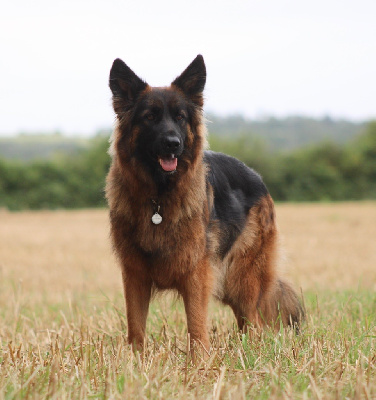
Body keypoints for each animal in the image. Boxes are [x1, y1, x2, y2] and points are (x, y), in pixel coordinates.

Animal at [105, 54, 302, 354]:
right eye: (149, 117)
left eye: (180, 117)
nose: (173, 144)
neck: (158, 199)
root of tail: (257, 177)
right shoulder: (135, 274)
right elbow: (136, 328)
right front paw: (136, 360)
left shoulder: (196, 274)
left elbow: (196, 327)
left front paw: (199, 362)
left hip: (241, 279)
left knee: (254, 323)